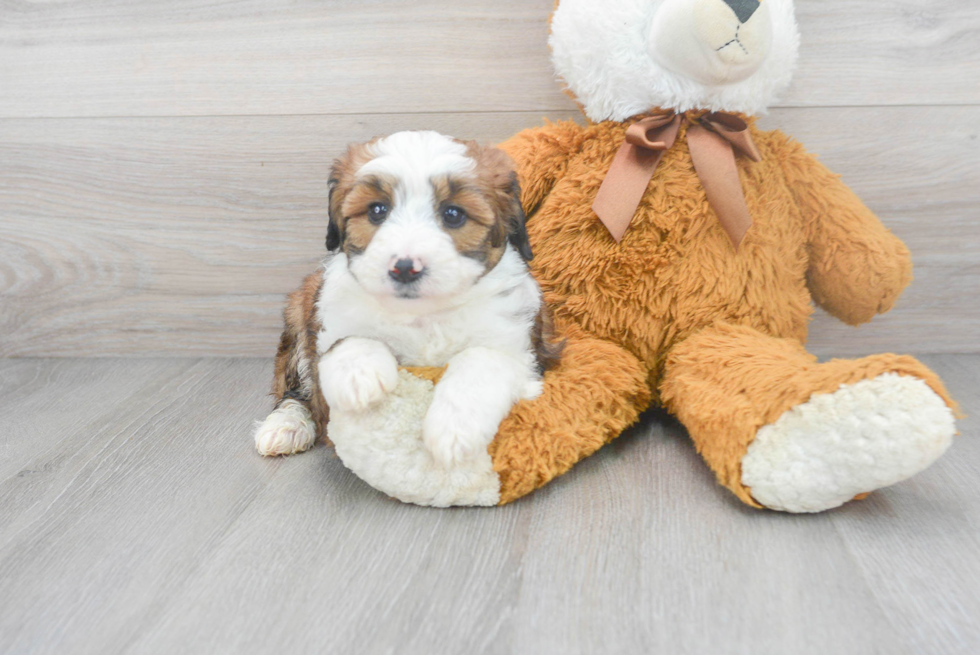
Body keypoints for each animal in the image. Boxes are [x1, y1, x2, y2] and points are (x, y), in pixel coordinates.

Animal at [253, 129, 560, 466]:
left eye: (453, 214)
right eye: (377, 210)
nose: (404, 268)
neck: (422, 314)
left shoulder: (519, 346)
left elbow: (481, 359)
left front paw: (454, 428)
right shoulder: (329, 315)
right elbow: (346, 341)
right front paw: (357, 378)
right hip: (299, 308)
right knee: (293, 391)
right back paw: (286, 426)